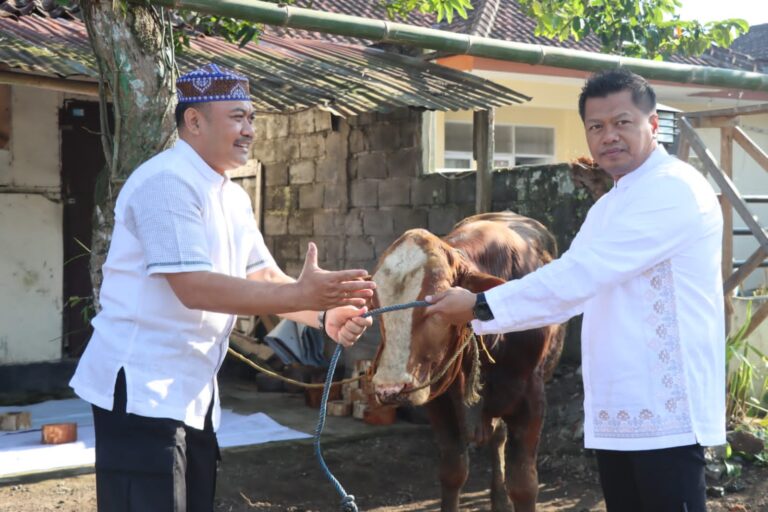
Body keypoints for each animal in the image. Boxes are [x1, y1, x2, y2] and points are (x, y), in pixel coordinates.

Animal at [372, 212, 564, 512]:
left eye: (436, 306)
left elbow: (524, 485)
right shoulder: (438, 400)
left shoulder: (531, 399)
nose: (389, 389)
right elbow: (453, 471)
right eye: (376, 304)